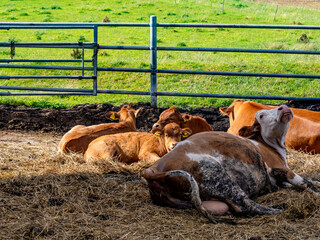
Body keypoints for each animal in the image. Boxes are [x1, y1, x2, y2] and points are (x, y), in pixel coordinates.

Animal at [143, 105, 320, 223]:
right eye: (261, 115)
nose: (284, 107)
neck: (271, 146)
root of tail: (152, 170)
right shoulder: (280, 168)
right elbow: (305, 183)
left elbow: (311, 180)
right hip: (216, 176)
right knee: (244, 204)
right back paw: (281, 208)